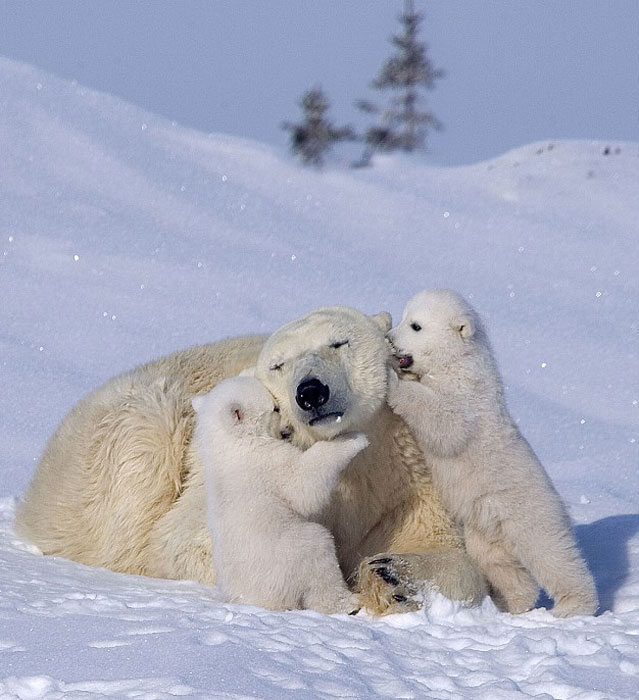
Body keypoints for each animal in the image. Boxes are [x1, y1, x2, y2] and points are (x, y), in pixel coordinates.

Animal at [192, 378, 368, 612]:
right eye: (275, 408)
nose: (289, 428)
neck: (229, 445)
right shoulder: (267, 460)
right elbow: (302, 484)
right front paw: (353, 438)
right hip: (289, 555)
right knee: (318, 555)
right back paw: (347, 602)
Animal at [384, 290, 600, 616]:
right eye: (404, 316)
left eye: (416, 325)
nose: (390, 338)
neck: (457, 361)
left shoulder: (467, 396)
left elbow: (445, 422)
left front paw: (389, 379)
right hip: (485, 524)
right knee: (498, 563)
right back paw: (509, 603)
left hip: (527, 512)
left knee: (552, 554)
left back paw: (573, 606)